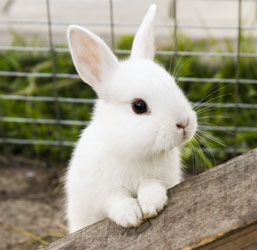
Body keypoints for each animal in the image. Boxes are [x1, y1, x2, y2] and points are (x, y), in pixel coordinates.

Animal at [65, 3, 196, 233]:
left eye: (173, 84)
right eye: (139, 106)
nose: (184, 123)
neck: (132, 151)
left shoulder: (159, 178)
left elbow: (151, 187)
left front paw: (152, 204)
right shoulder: (102, 192)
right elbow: (116, 201)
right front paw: (131, 215)